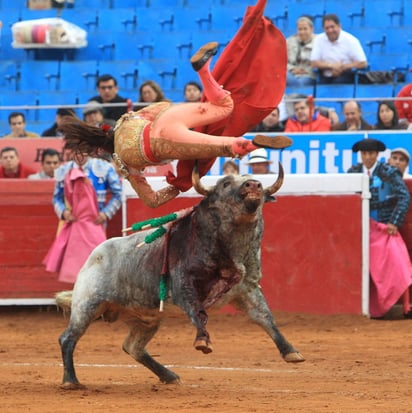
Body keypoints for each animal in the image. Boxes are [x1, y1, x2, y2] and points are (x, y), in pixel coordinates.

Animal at [56, 163, 304, 388]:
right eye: (225, 183)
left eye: (256, 181)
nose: (253, 184)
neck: (233, 247)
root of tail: (92, 257)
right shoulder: (183, 286)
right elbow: (198, 312)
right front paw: (203, 341)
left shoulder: (247, 289)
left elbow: (265, 318)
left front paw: (291, 352)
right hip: (87, 305)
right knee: (68, 338)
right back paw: (70, 381)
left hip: (146, 318)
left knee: (133, 347)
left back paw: (168, 376)